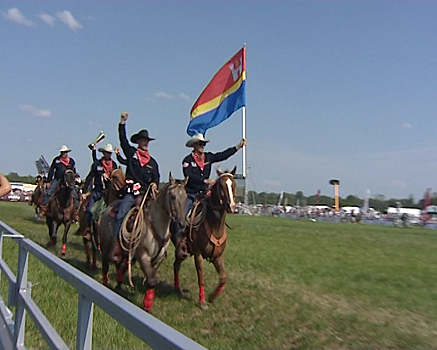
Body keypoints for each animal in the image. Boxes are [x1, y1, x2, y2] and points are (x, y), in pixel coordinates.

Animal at [99, 174, 187, 314]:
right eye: (173, 196)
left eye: (186, 197)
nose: (182, 224)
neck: (156, 224)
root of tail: (107, 209)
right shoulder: (143, 256)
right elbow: (151, 281)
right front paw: (146, 304)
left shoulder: (157, 259)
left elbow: (152, 280)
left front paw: (147, 305)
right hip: (106, 247)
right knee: (106, 265)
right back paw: (105, 284)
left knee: (120, 266)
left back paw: (118, 285)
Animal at [172, 166, 237, 308]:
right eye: (221, 185)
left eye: (233, 184)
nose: (231, 206)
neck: (215, 226)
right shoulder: (198, 255)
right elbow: (201, 278)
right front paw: (202, 302)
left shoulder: (218, 257)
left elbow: (223, 278)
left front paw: (212, 297)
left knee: (176, 265)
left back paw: (178, 290)